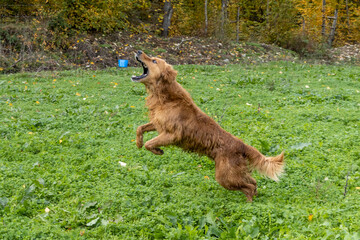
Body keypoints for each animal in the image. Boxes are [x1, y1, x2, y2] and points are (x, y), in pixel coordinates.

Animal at [131, 51, 286, 202]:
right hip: (235, 173)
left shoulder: (172, 135)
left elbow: (150, 143)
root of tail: (242, 145)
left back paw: (248, 205)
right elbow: (140, 128)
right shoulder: (157, 124)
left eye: (154, 61)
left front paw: (157, 150)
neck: (166, 97)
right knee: (253, 182)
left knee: (249, 187)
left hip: (225, 177)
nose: (138, 51)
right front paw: (139, 143)